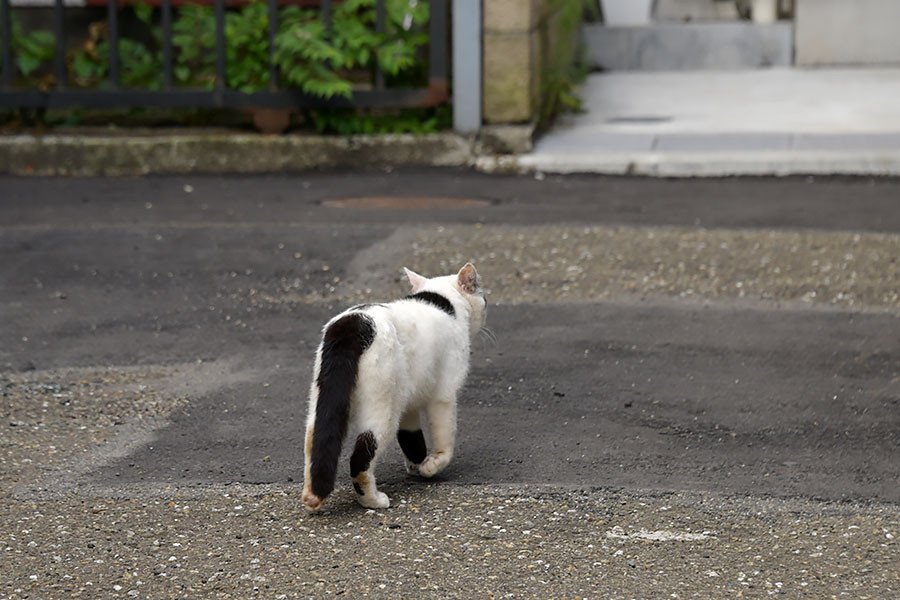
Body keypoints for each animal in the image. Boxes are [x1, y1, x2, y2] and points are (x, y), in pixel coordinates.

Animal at [300, 262, 486, 510]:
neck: (445, 300)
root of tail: (355, 323)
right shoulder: (443, 394)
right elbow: (444, 439)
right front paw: (432, 465)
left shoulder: (408, 401)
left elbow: (411, 436)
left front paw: (417, 464)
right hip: (383, 406)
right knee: (361, 456)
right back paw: (372, 500)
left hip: (324, 399)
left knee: (314, 441)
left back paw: (312, 495)